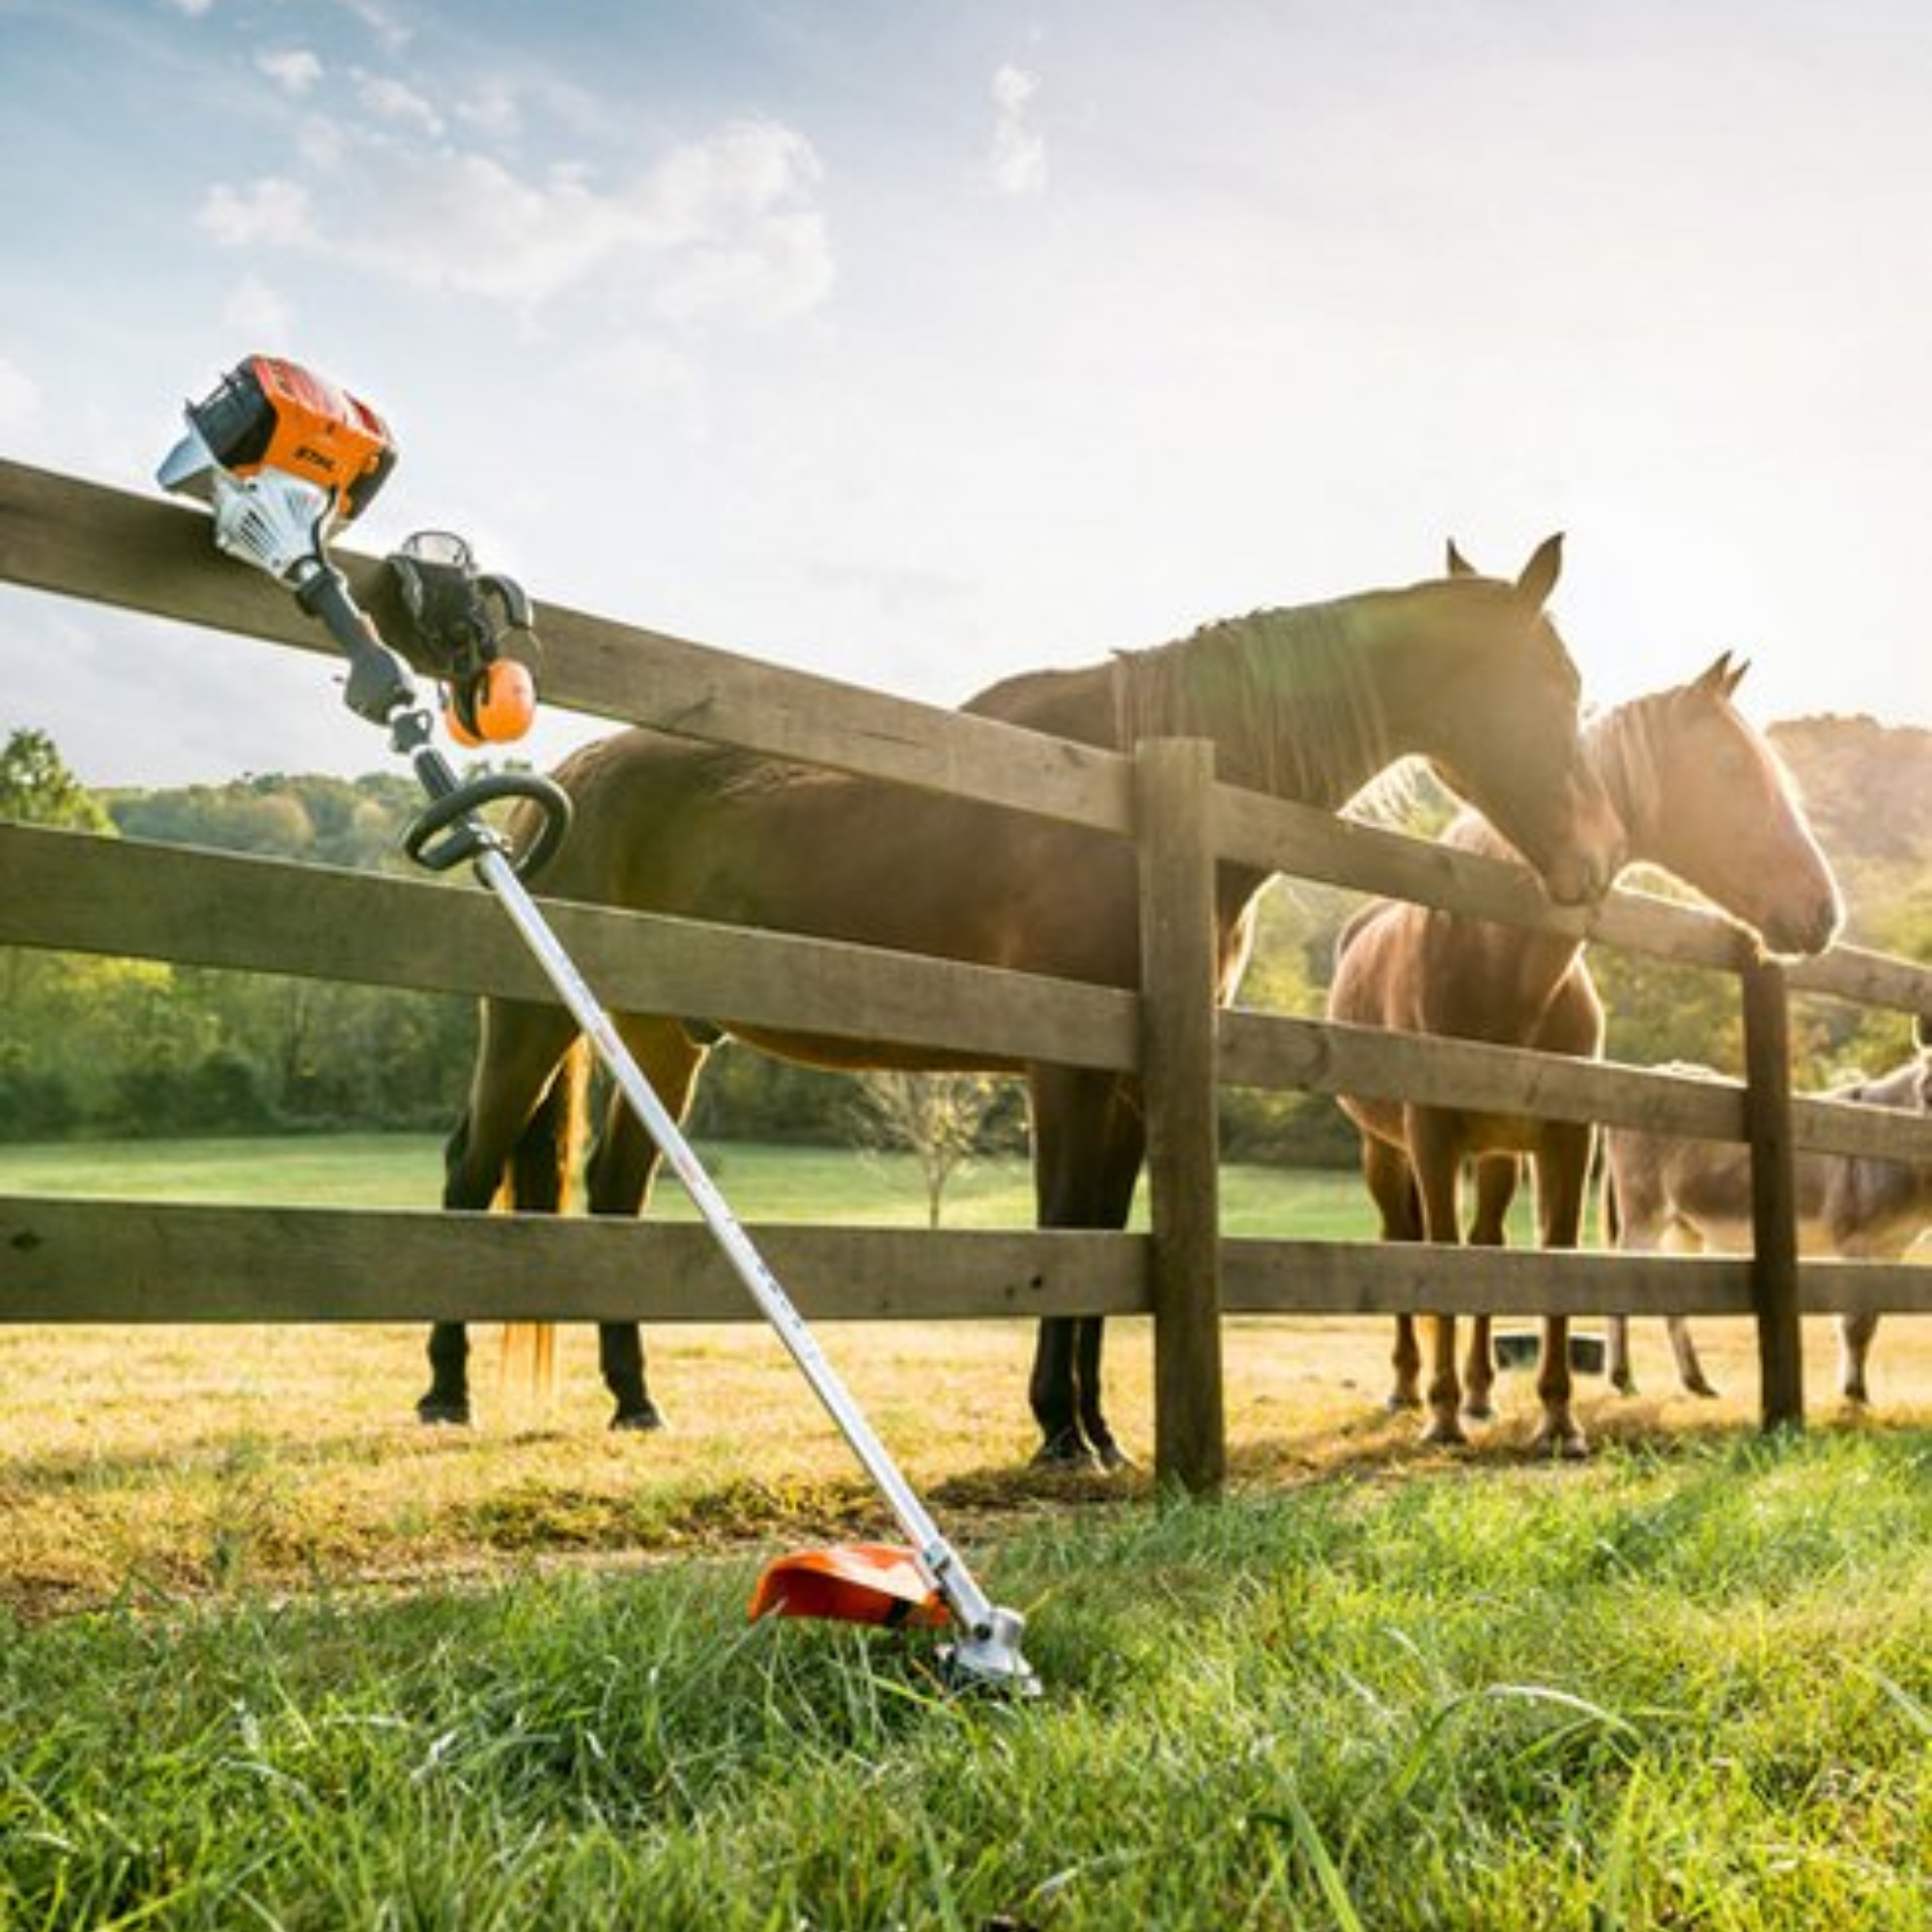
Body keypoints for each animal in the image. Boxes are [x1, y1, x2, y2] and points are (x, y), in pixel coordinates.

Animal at [431, 533, 1623, 1461]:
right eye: (1556, 687)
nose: (1598, 860)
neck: (1129, 805)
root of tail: (569, 776)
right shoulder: (1062, 1066)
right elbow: (1060, 1229)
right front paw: (1058, 1427)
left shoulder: (1130, 1078)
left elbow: (1102, 1231)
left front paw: (1095, 1431)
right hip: (531, 1020)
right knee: (471, 1169)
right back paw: (446, 1391)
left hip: (661, 1040)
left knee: (613, 1192)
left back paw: (634, 1400)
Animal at [1329, 649, 1839, 1453]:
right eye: (1731, 767)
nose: (1824, 911)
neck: (1495, 953)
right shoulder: (1432, 1135)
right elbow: (1437, 1255)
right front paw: (1442, 1414)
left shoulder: (1568, 1137)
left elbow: (1556, 1259)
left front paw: (1558, 1419)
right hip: (1385, 1148)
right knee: (1402, 1238)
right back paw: (1411, 1389)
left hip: (1498, 1155)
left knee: (1488, 1243)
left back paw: (1482, 1394)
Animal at [1600, 1043, 1932, 1406]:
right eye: (1928, 1093)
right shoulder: (1856, 1243)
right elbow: (1855, 1324)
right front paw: (1854, 1394)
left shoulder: (1890, 1249)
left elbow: (1871, 1320)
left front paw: (1856, 1391)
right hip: (1644, 1214)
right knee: (1621, 1276)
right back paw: (1622, 1379)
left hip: (1683, 1227)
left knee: (1671, 1293)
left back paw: (1697, 1383)